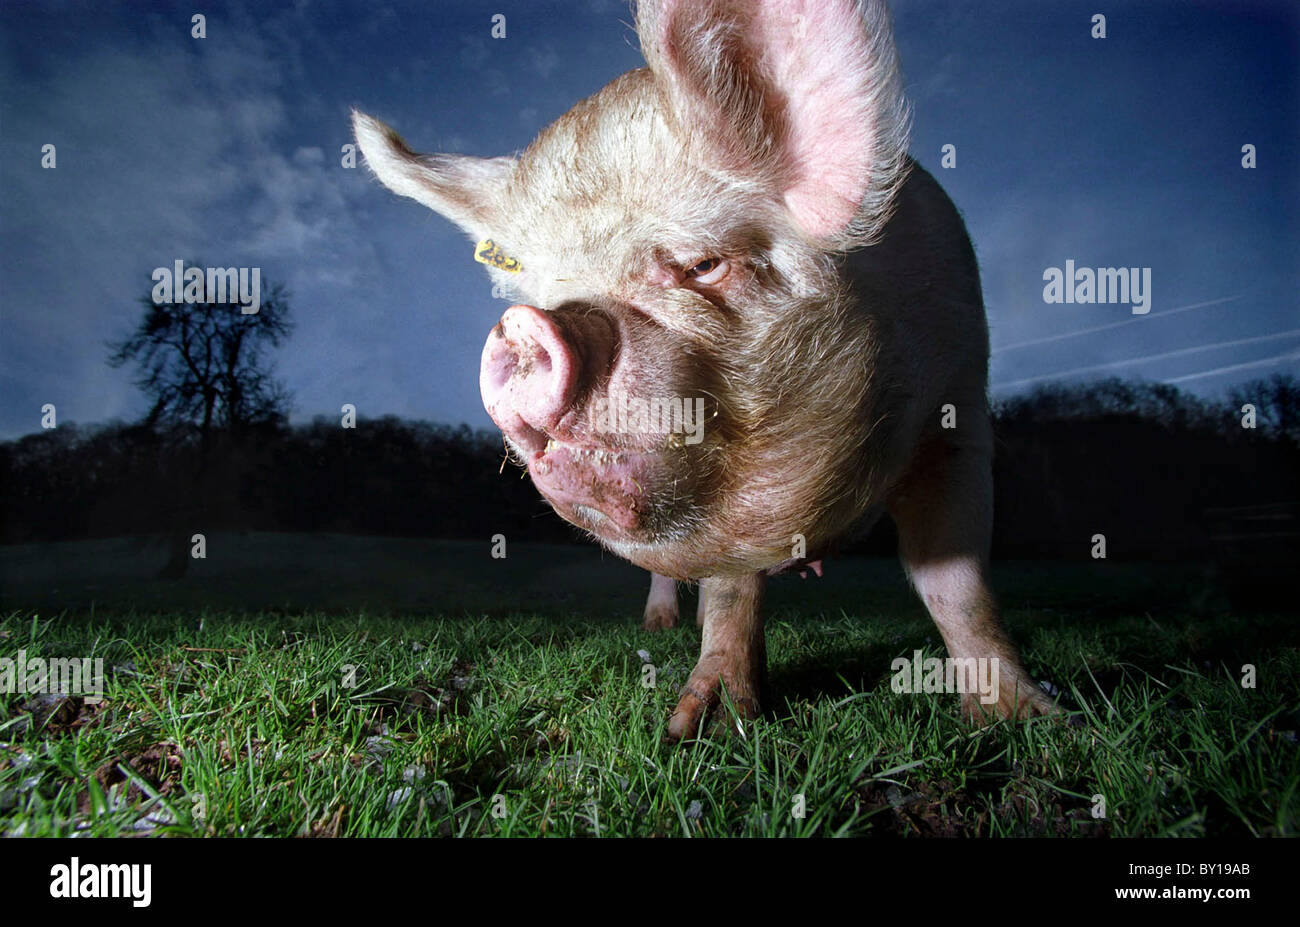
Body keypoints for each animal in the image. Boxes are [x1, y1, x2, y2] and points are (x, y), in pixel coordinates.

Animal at [353, 0, 1056, 738]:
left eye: (701, 264)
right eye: (537, 291)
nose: (522, 327)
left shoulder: (962, 404)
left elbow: (956, 579)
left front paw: (1028, 720)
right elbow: (727, 591)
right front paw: (699, 726)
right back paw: (660, 627)